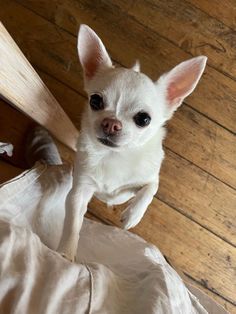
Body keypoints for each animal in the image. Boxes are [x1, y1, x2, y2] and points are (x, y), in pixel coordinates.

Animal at [57, 24, 206, 262]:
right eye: (95, 101)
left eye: (144, 119)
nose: (111, 123)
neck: (115, 156)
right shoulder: (80, 190)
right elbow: (72, 223)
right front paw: (65, 253)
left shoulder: (149, 178)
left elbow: (151, 188)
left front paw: (133, 214)